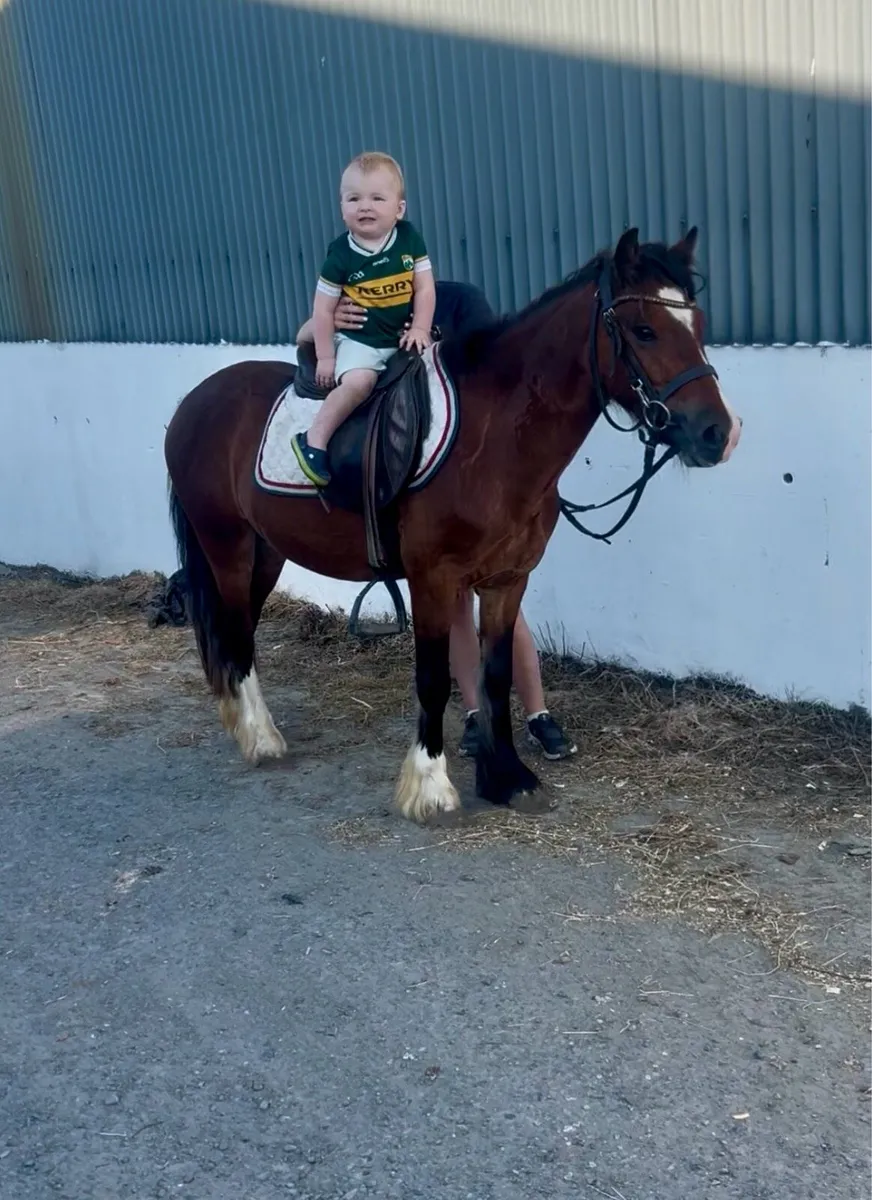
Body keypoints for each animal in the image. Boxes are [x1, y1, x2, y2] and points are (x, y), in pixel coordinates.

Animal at [164, 226, 741, 823]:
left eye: (698, 327)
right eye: (644, 330)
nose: (718, 433)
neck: (492, 439)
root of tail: (195, 401)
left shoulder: (507, 580)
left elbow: (496, 675)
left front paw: (508, 777)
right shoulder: (433, 579)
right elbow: (435, 678)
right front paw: (430, 785)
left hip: (267, 551)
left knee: (241, 632)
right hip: (226, 545)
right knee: (235, 631)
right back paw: (261, 738)